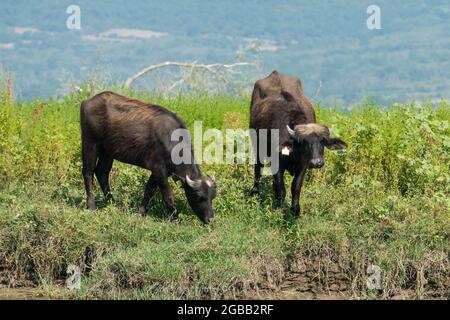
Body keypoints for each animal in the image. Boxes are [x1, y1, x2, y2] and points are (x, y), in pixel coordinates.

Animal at [80, 91, 216, 224]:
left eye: (212, 197)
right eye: (199, 196)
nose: (210, 220)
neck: (170, 139)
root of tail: (87, 102)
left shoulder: (159, 172)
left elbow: (149, 191)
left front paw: (141, 213)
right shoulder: (159, 170)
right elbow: (168, 195)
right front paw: (175, 218)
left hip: (107, 151)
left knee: (102, 173)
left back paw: (111, 202)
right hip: (90, 143)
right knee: (88, 172)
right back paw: (91, 206)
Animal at [250, 71, 348, 216]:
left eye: (323, 142)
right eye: (304, 142)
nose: (317, 162)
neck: (294, 153)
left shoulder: (303, 165)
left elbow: (296, 186)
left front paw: (295, 210)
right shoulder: (276, 163)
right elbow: (281, 187)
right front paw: (278, 207)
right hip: (256, 145)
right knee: (258, 169)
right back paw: (255, 192)